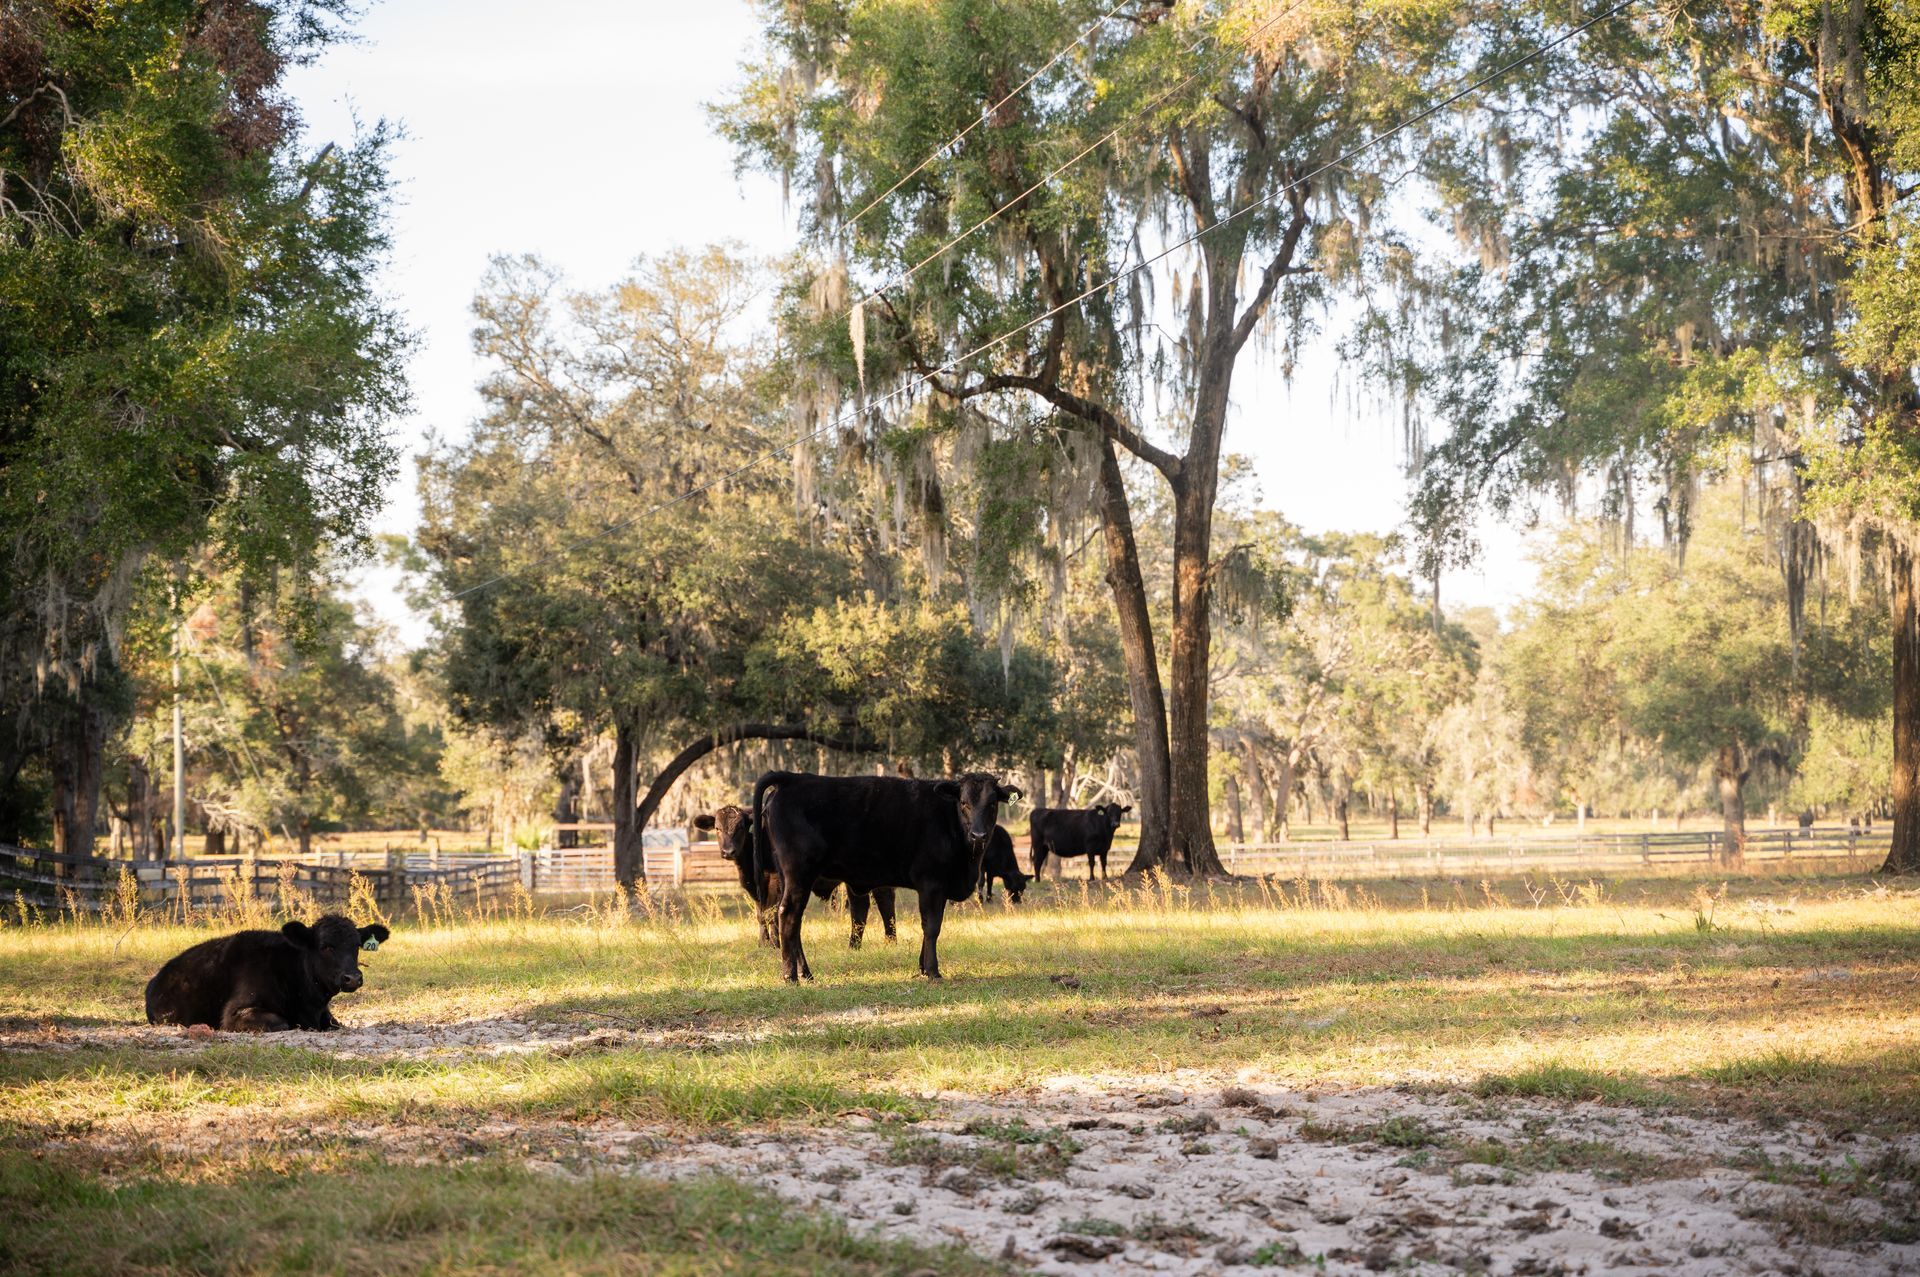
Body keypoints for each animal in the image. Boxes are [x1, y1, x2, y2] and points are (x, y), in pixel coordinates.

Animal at [693, 805, 897, 947]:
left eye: (741, 826)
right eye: (717, 828)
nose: (728, 851)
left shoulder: (775, 880)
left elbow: (771, 913)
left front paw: (775, 944)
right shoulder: (756, 887)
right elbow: (760, 914)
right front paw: (763, 943)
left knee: (882, 900)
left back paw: (888, 941)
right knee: (861, 905)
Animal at [751, 770, 1020, 982]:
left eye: (992, 803)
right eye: (964, 802)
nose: (978, 835)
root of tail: (793, 778)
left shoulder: (940, 887)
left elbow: (930, 927)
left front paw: (922, 967)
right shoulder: (931, 883)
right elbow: (932, 926)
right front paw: (932, 971)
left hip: (789, 877)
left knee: (792, 920)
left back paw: (806, 973)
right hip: (798, 873)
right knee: (788, 915)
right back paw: (790, 975)